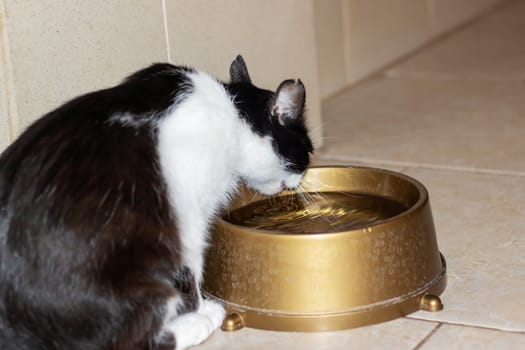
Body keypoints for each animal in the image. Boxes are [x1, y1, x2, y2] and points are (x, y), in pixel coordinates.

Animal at [0, 55, 312, 350]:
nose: (303, 177)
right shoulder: (188, 206)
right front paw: (199, 307)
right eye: (306, 151)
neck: (231, 113)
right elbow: (192, 263)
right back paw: (195, 324)